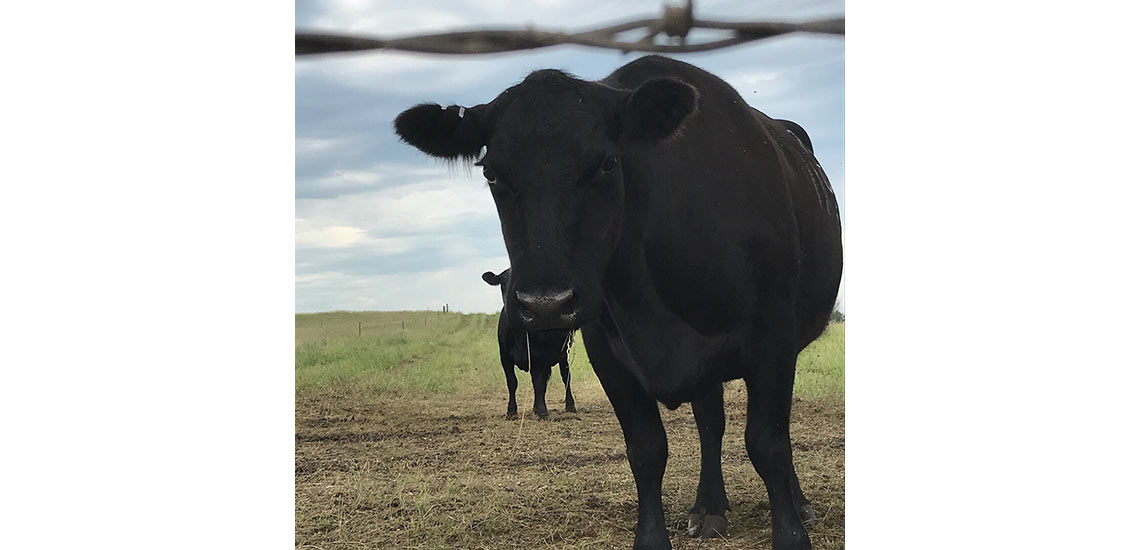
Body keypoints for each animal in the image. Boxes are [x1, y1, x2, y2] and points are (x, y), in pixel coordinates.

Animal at [483, 268, 579, 419]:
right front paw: (511, 411)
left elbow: (539, 383)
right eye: (503, 282)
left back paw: (570, 406)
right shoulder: (505, 357)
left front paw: (542, 411)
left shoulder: (539, 357)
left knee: (565, 376)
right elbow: (512, 382)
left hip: (564, 352)